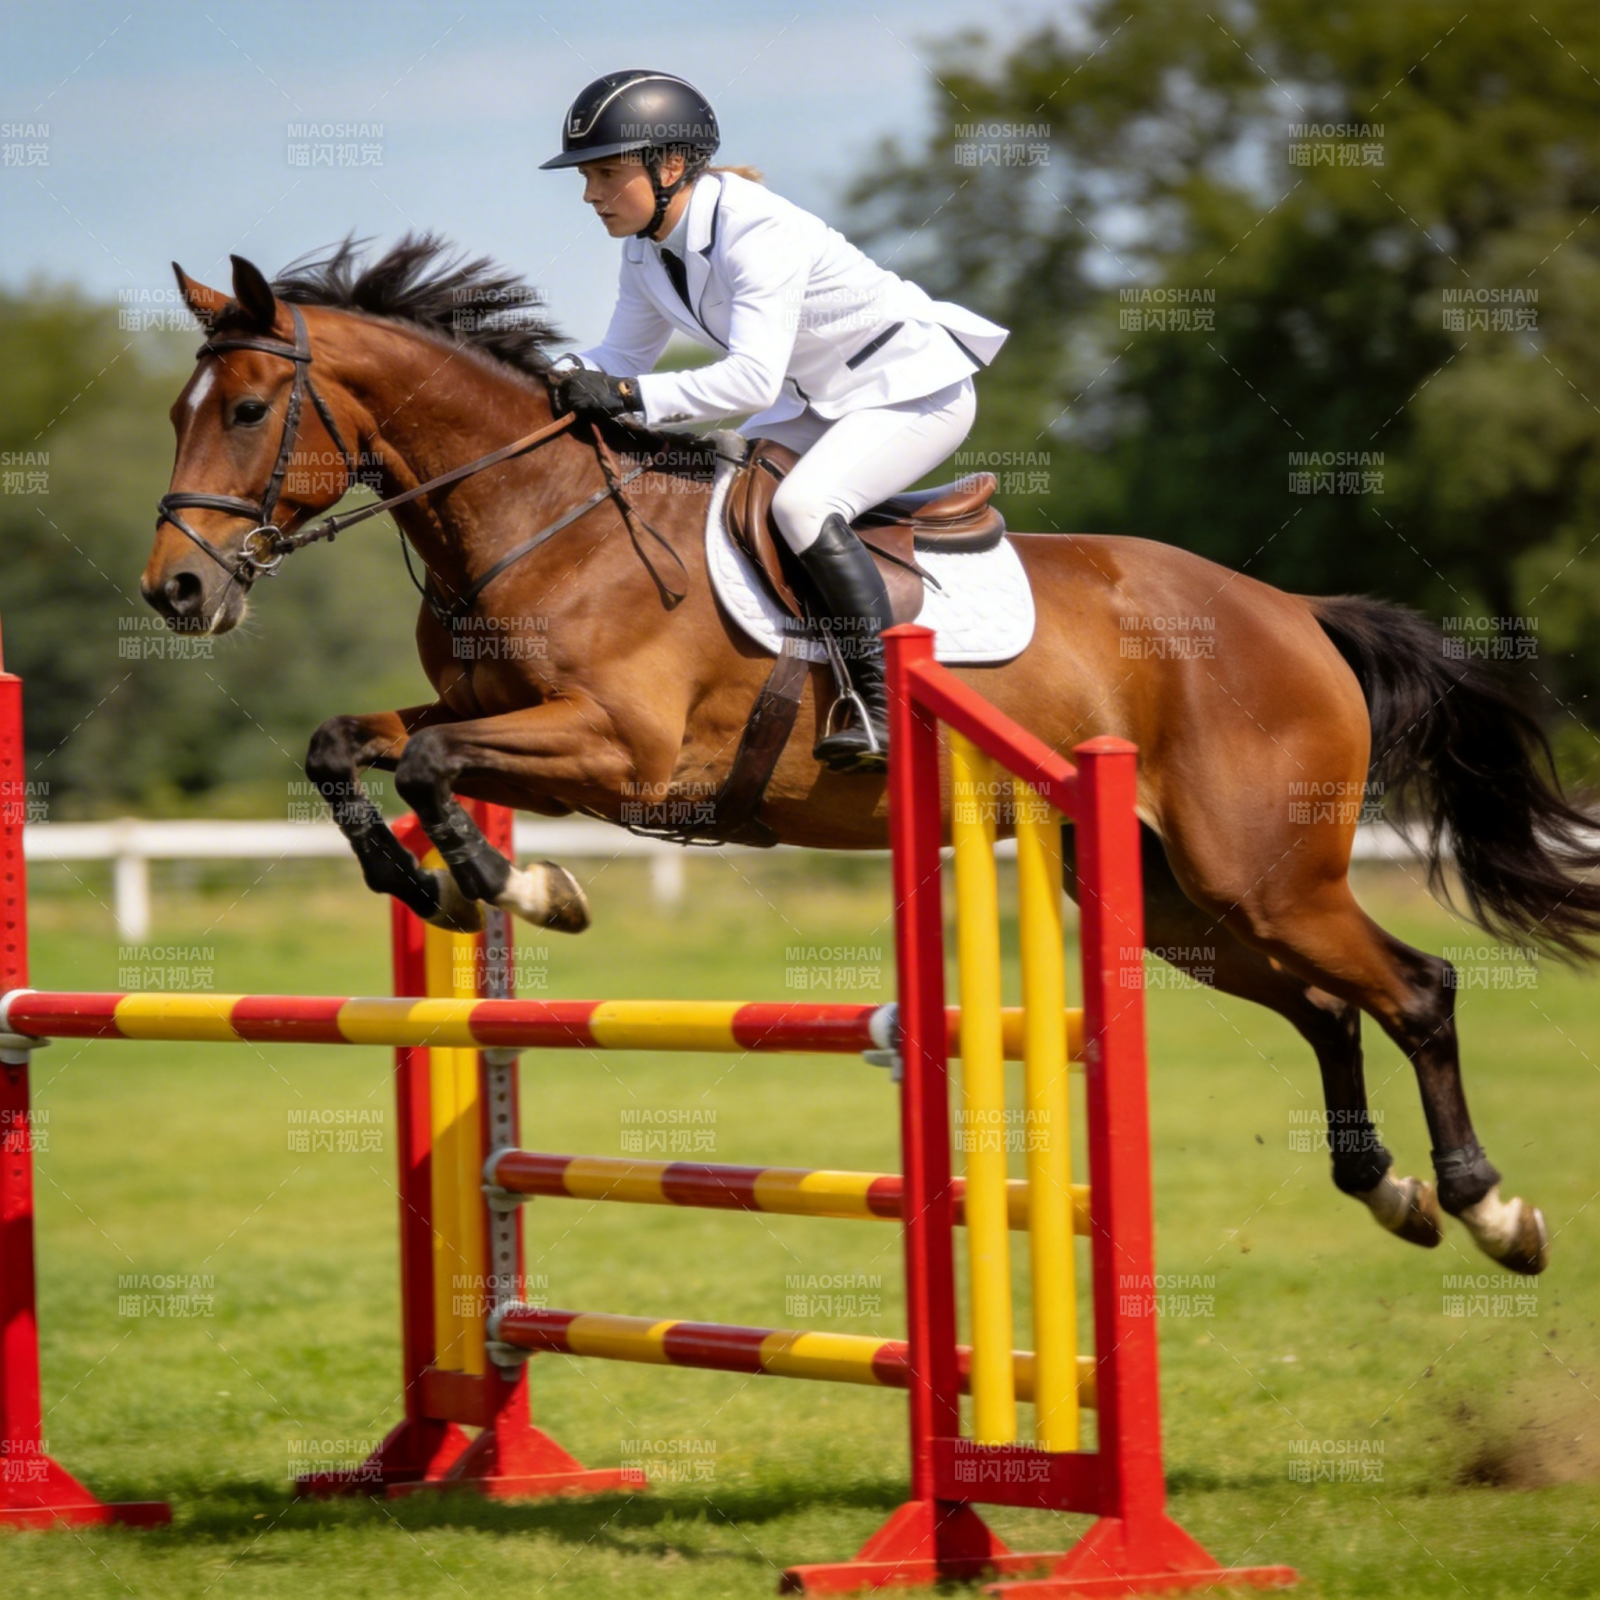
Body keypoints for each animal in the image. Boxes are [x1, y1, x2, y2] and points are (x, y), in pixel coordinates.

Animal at [142, 236, 1600, 1278]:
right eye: (177, 410)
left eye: (253, 408)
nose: (176, 592)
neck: (539, 521)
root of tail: (1294, 613)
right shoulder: (500, 724)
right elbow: (355, 747)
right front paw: (447, 887)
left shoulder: (620, 754)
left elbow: (435, 767)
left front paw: (516, 888)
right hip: (1174, 895)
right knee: (1325, 1008)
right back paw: (1391, 1190)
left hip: (1265, 873)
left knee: (1414, 989)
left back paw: (1487, 1207)